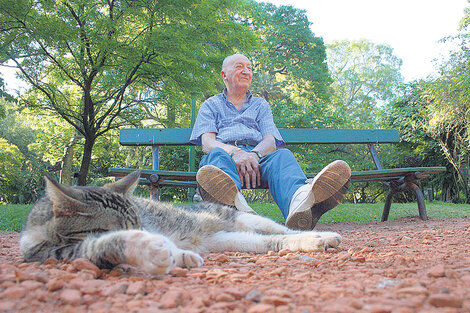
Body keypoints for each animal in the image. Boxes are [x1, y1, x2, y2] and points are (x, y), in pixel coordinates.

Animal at [20, 171, 342, 272]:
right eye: (125, 226)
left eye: (138, 221)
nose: (145, 231)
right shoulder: (56, 253)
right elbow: (105, 245)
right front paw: (162, 253)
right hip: (230, 237)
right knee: (272, 241)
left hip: (242, 220)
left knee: (282, 228)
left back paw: (324, 235)